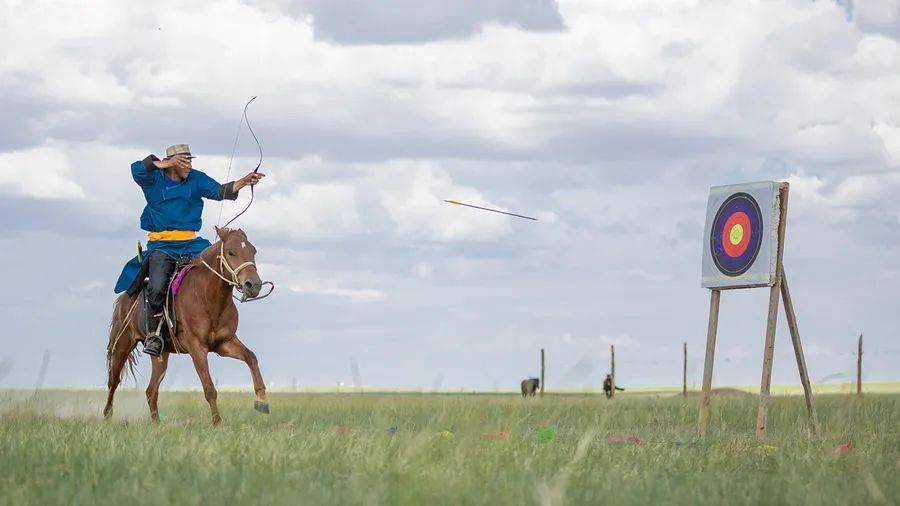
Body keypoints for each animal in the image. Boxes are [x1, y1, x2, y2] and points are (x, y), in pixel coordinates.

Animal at [103, 227, 268, 424]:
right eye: (230, 252)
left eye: (253, 251)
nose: (254, 285)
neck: (207, 298)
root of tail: (123, 299)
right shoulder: (197, 348)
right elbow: (209, 389)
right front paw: (217, 423)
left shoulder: (225, 343)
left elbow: (251, 357)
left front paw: (262, 401)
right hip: (122, 344)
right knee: (114, 381)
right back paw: (107, 415)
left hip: (161, 354)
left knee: (151, 391)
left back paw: (156, 424)